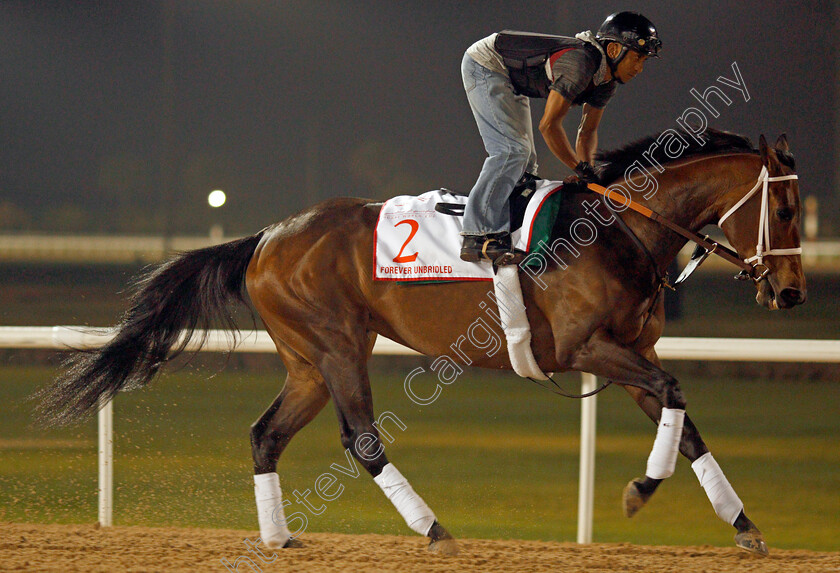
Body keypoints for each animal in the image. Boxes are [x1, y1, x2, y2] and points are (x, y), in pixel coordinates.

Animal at [34, 130, 808, 556]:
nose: (792, 292)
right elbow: (675, 394)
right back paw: (434, 529)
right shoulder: (586, 348)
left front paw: (743, 524)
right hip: (339, 345)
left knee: (265, 434)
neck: (620, 228)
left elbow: (684, 420)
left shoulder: (628, 357)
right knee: (361, 438)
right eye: (784, 205)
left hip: (306, 360)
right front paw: (641, 489)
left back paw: (280, 536)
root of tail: (266, 235)